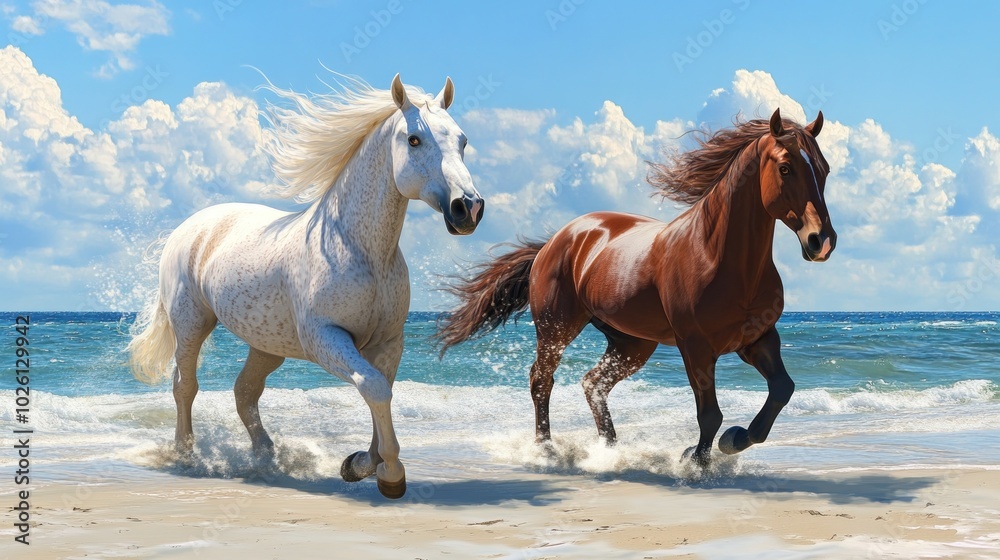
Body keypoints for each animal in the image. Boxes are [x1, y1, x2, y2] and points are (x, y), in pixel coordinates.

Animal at [127, 74, 484, 499]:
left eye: (462, 141)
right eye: (414, 139)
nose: (469, 208)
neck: (360, 250)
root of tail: (188, 227)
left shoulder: (388, 342)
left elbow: (381, 391)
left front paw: (360, 464)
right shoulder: (324, 337)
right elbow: (374, 388)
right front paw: (390, 475)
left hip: (267, 345)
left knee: (245, 391)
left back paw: (267, 458)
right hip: (191, 323)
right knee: (185, 385)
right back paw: (186, 455)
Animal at [436, 109, 834, 466]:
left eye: (825, 169)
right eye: (785, 168)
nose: (822, 242)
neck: (718, 256)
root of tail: (555, 240)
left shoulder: (758, 339)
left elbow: (782, 389)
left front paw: (733, 440)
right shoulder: (696, 347)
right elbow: (710, 414)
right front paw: (695, 461)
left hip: (632, 343)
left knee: (592, 383)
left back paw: (611, 451)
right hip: (556, 329)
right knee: (542, 380)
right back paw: (546, 449)